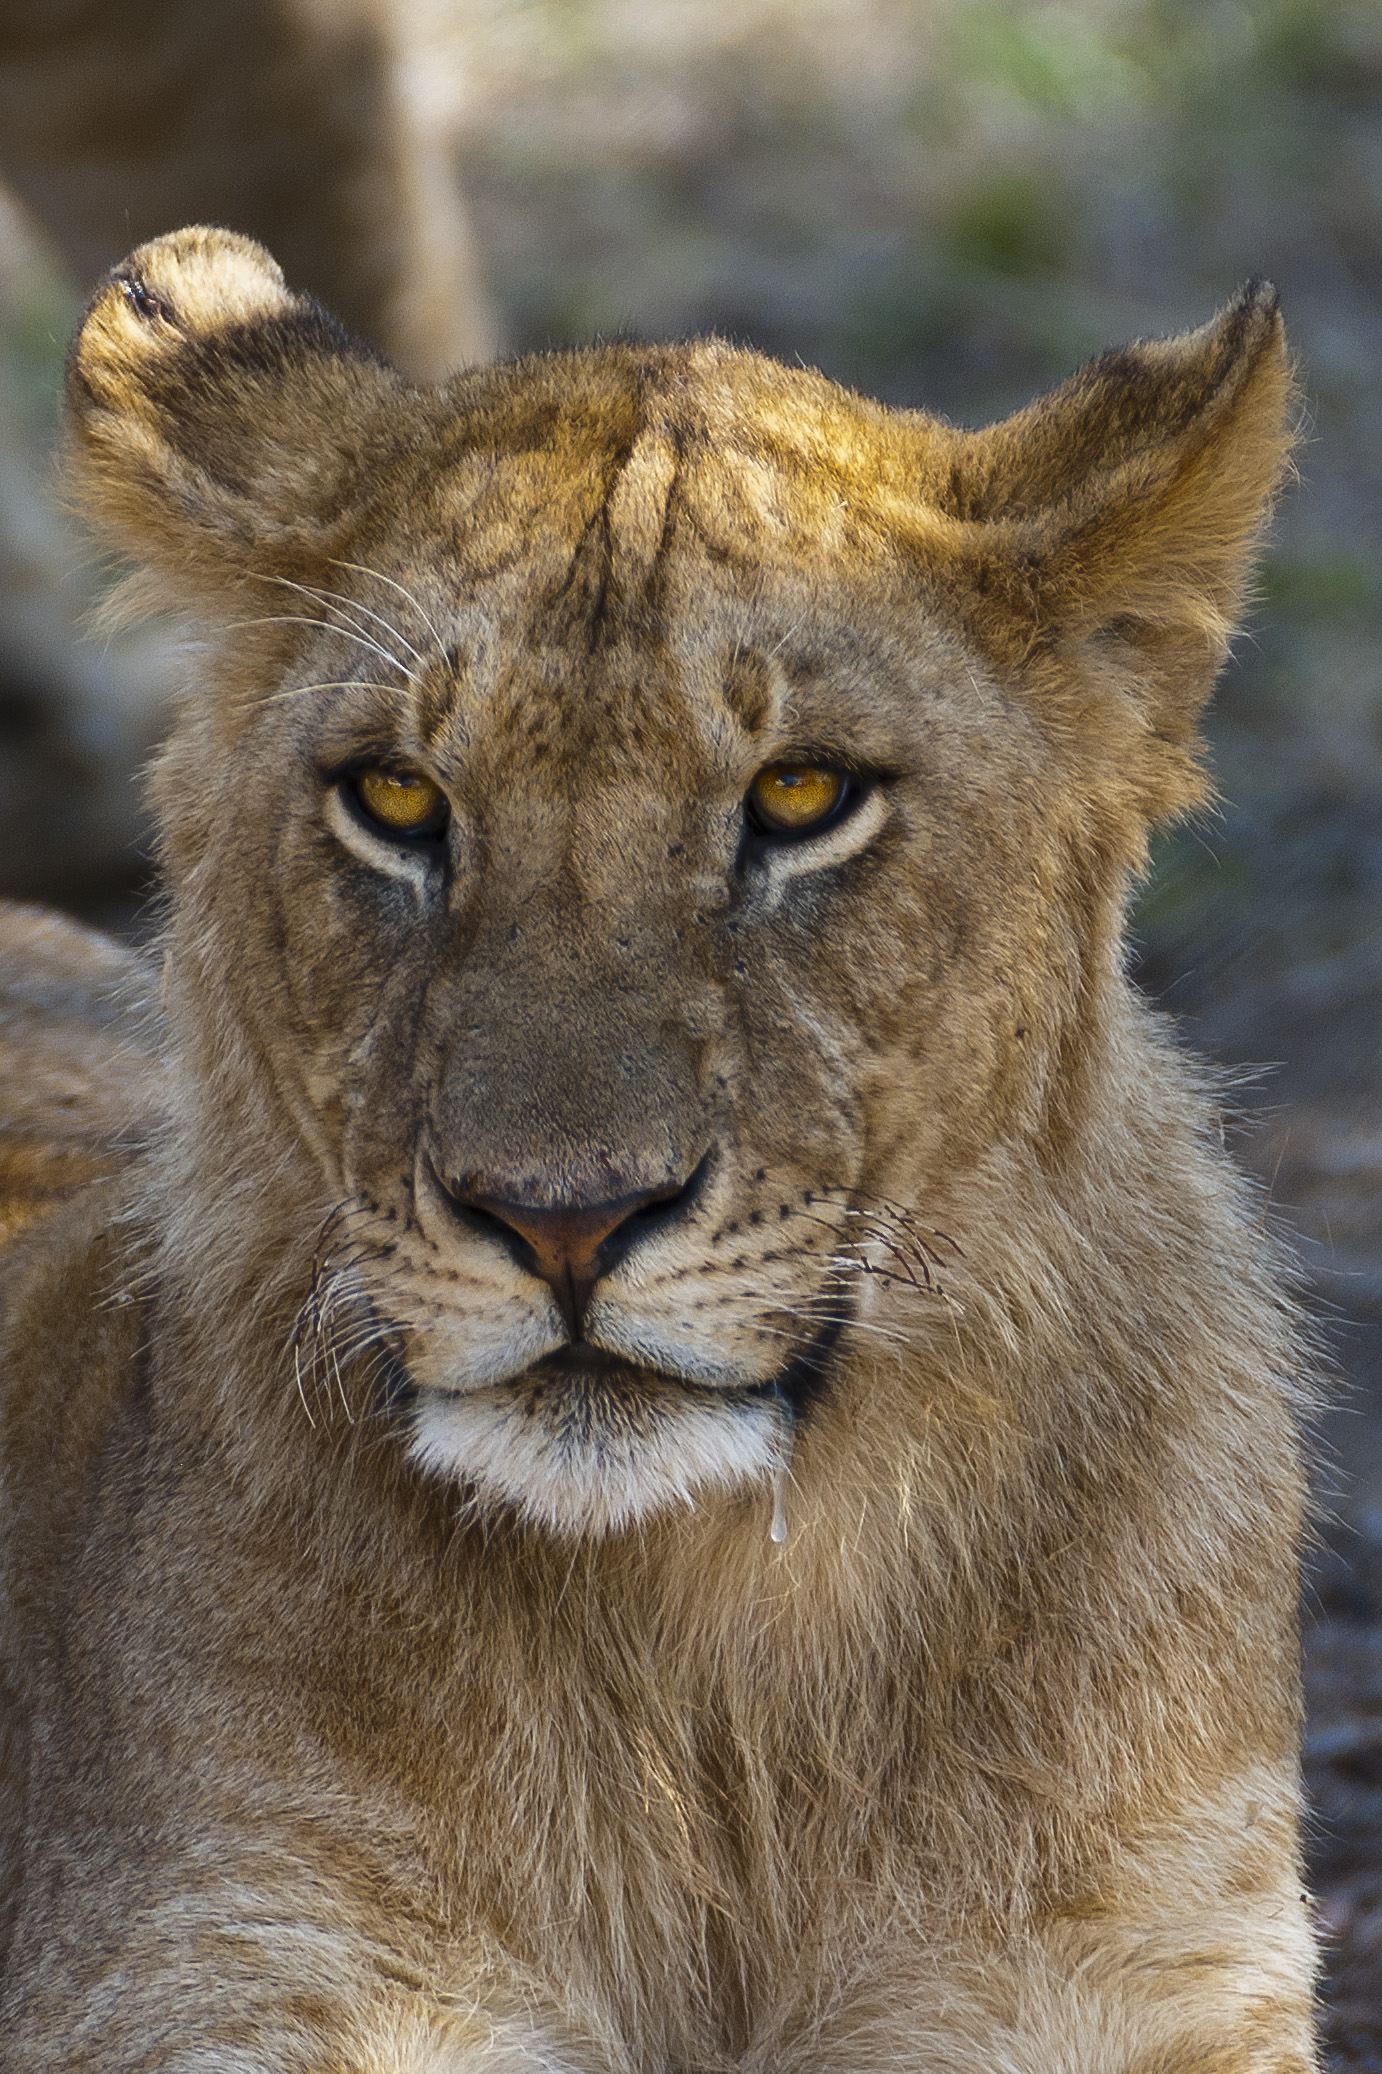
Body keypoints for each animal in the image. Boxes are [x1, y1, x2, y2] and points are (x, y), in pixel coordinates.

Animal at [0, 227, 1314, 2070]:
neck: (718, 1671)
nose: (564, 1217)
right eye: (395, 801)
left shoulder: (1135, 1967)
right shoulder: (230, 1956)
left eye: (804, 796)